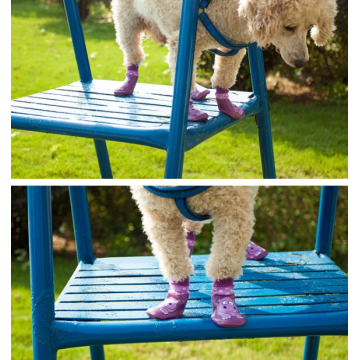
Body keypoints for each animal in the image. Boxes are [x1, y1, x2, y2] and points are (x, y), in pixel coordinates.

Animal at [112, 0, 338, 121]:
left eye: (310, 26)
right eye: (289, 27)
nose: (302, 63)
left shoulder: (234, 46)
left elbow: (223, 79)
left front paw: (227, 107)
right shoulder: (182, 43)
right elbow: (182, 79)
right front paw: (190, 112)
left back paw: (197, 91)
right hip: (127, 20)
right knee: (133, 54)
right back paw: (127, 85)